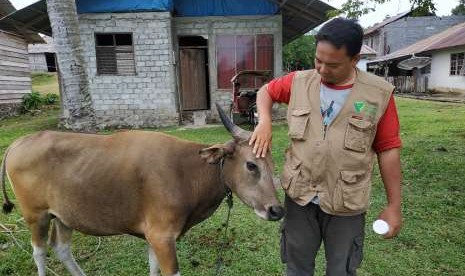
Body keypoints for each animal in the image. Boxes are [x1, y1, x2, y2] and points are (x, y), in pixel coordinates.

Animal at [0, 104, 282, 276]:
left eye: (272, 164)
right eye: (251, 164)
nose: (276, 210)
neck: (186, 171)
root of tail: (17, 143)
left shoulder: (154, 238)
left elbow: (153, 269)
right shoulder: (162, 236)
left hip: (63, 216)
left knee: (61, 248)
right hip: (36, 215)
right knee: (39, 252)